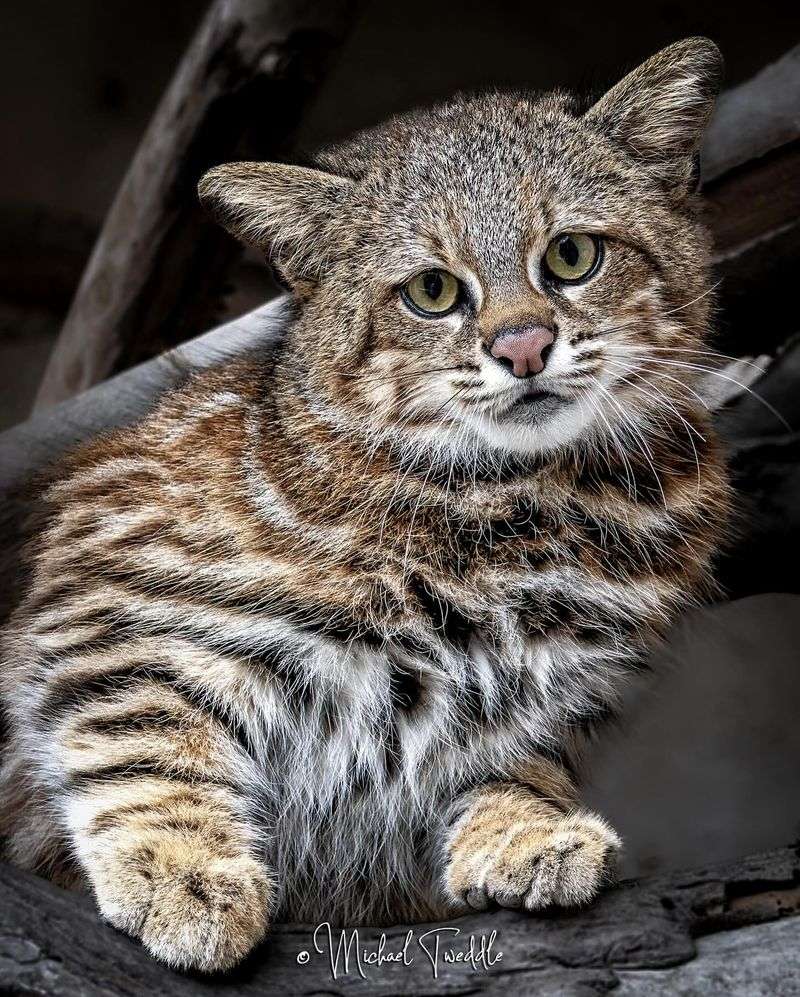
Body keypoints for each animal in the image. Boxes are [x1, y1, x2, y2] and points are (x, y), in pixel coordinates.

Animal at [0, 39, 732, 972]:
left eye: (572, 256)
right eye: (431, 291)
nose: (525, 346)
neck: (512, 499)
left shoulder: (547, 692)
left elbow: (508, 759)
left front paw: (523, 824)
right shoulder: (109, 602)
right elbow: (147, 742)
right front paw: (184, 870)